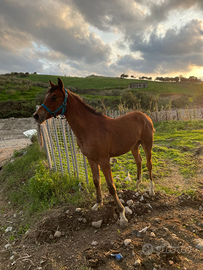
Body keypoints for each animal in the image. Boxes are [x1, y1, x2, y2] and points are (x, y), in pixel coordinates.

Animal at [33, 77, 155, 226]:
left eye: (54, 97)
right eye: (47, 96)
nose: (36, 116)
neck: (90, 128)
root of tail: (145, 116)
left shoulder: (104, 160)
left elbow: (111, 186)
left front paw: (122, 214)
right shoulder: (91, 159)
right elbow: (96, 181)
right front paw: (98, 203)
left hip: (147, 144)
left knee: (149, 164)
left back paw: (151, 190)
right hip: (134, 146)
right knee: (139, 161)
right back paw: (137, 185)